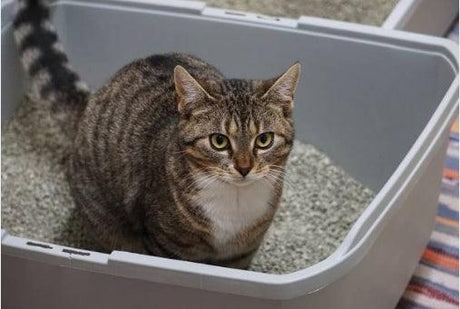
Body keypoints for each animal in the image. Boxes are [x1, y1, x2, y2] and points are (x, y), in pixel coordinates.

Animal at [13, 0, 298, 268]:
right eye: (219, 141)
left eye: (264, 140)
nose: (244, 167)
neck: (234, 204)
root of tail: (90, 103)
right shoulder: (165, 244)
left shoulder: (242, 253)